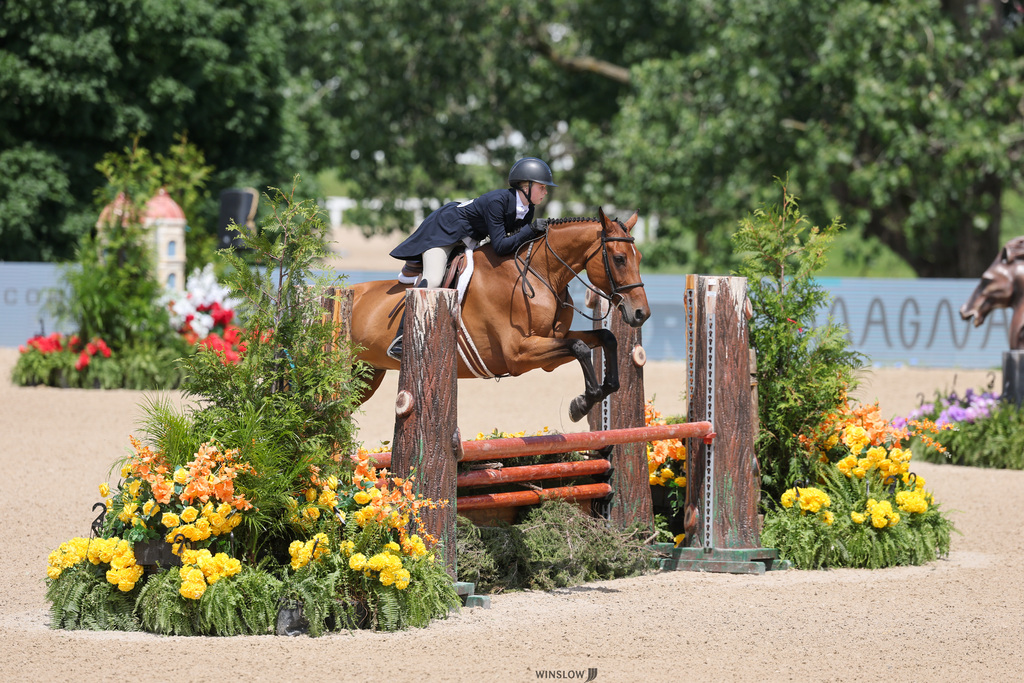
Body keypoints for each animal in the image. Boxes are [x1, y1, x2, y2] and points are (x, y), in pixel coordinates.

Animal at [349, 208, 650, 423]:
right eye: (620, 259)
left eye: (640, 258)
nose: (641, 314)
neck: (540, 273)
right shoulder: (518, 353)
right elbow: (580, 347)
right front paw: (583, 403)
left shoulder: (549, 345)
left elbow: (605, 337)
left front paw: (589, 398)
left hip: (367, 376)